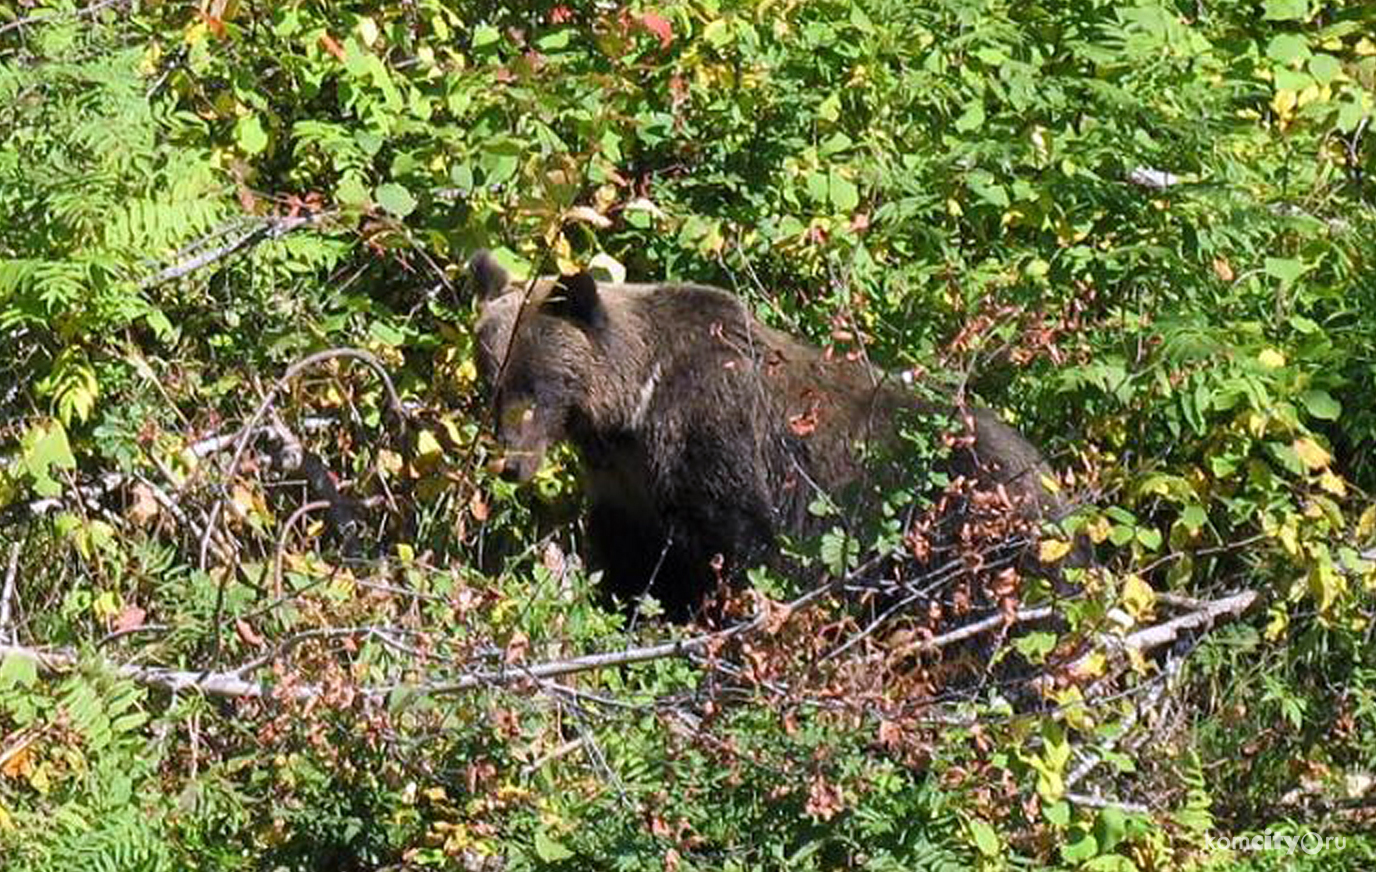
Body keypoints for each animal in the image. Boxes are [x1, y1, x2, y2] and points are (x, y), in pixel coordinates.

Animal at [473, 248, 1084, 618]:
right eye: (492, 381)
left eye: (537, 386)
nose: (511, 463)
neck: (635, 409)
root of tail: (1055, 486)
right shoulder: (628, 486)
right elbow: (633, 560)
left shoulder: (714, 435)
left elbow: (746, 547)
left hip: (974, 540)